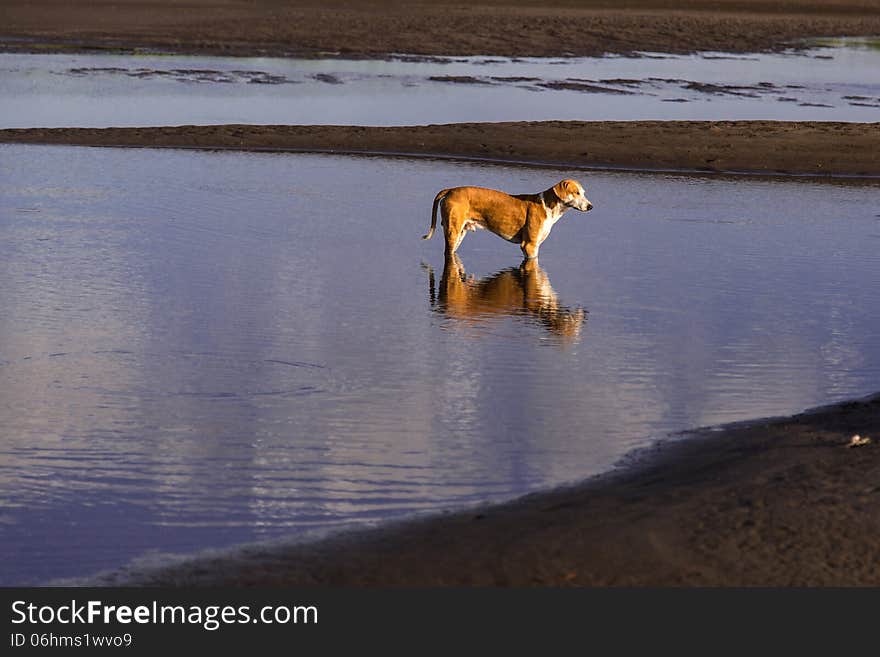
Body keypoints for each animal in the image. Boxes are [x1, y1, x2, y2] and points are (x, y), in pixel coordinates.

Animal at [422, 178, 596, 258]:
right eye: (576, 193)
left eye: (583, 193)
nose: (590, 206)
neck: (548, 206)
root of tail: (451, 190)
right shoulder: (530, 246)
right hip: (453, 231)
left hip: (460, 233)